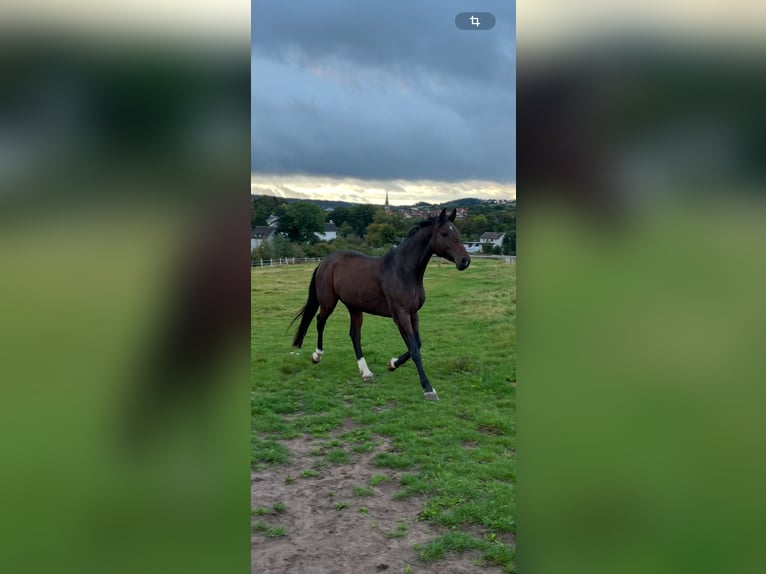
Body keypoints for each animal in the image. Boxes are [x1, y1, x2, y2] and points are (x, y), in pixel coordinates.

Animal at [290, 209, 472, 402]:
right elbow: (415, 349)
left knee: (354, 335)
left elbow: (417, 344)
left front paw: (392, 364)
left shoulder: (413, 314)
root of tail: (325, 261)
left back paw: (366, 372)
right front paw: (428, 389)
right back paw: (317, 355)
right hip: (329, 302)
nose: (464, 261)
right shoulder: (400, 315)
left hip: (355, 307)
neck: (403, 271)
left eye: (457, 233)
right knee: (320, 321)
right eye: (444, 234)